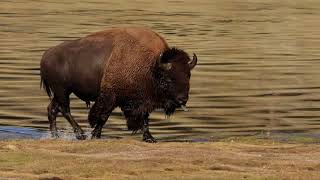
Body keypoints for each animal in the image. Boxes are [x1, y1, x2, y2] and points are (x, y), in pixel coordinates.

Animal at [40, 26, 198, 142]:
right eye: (168, 79)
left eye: (188, 76)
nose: (182, 99)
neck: (151, 66)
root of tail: (46, 56)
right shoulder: (110, 96)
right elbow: (102, 117)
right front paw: (95, 135)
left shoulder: (142, 100)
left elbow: (145, 118)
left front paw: (150, 138)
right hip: (62, 91)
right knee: (64, 109)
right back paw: (80, 134)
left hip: (61, 92)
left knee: (52, 109)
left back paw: (55, 136)